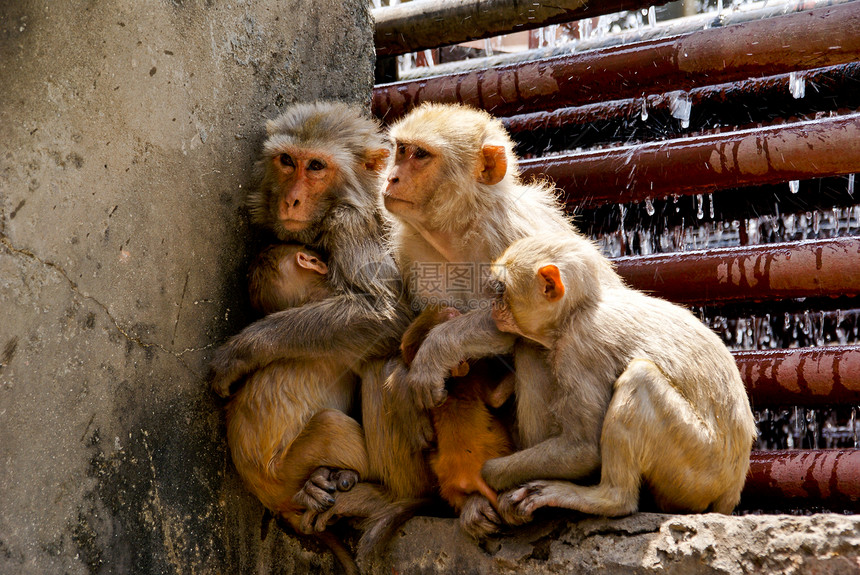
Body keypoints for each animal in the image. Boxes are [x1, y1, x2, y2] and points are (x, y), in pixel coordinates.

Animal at [400, 306, 512, 512]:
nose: (450, 308)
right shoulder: (475, 376)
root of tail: (469, 475)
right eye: (450, 316)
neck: (452, 384)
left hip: (447, 486)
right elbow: (495, 399)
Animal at [488, 233, 756, 520]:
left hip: (700, 466)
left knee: (640, 378)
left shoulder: (581, 348)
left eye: (501, 289)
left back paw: (608, 500)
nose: (492, 306)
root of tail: (732, 489)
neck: (580, 309)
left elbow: (583, 448)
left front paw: (488, 473)